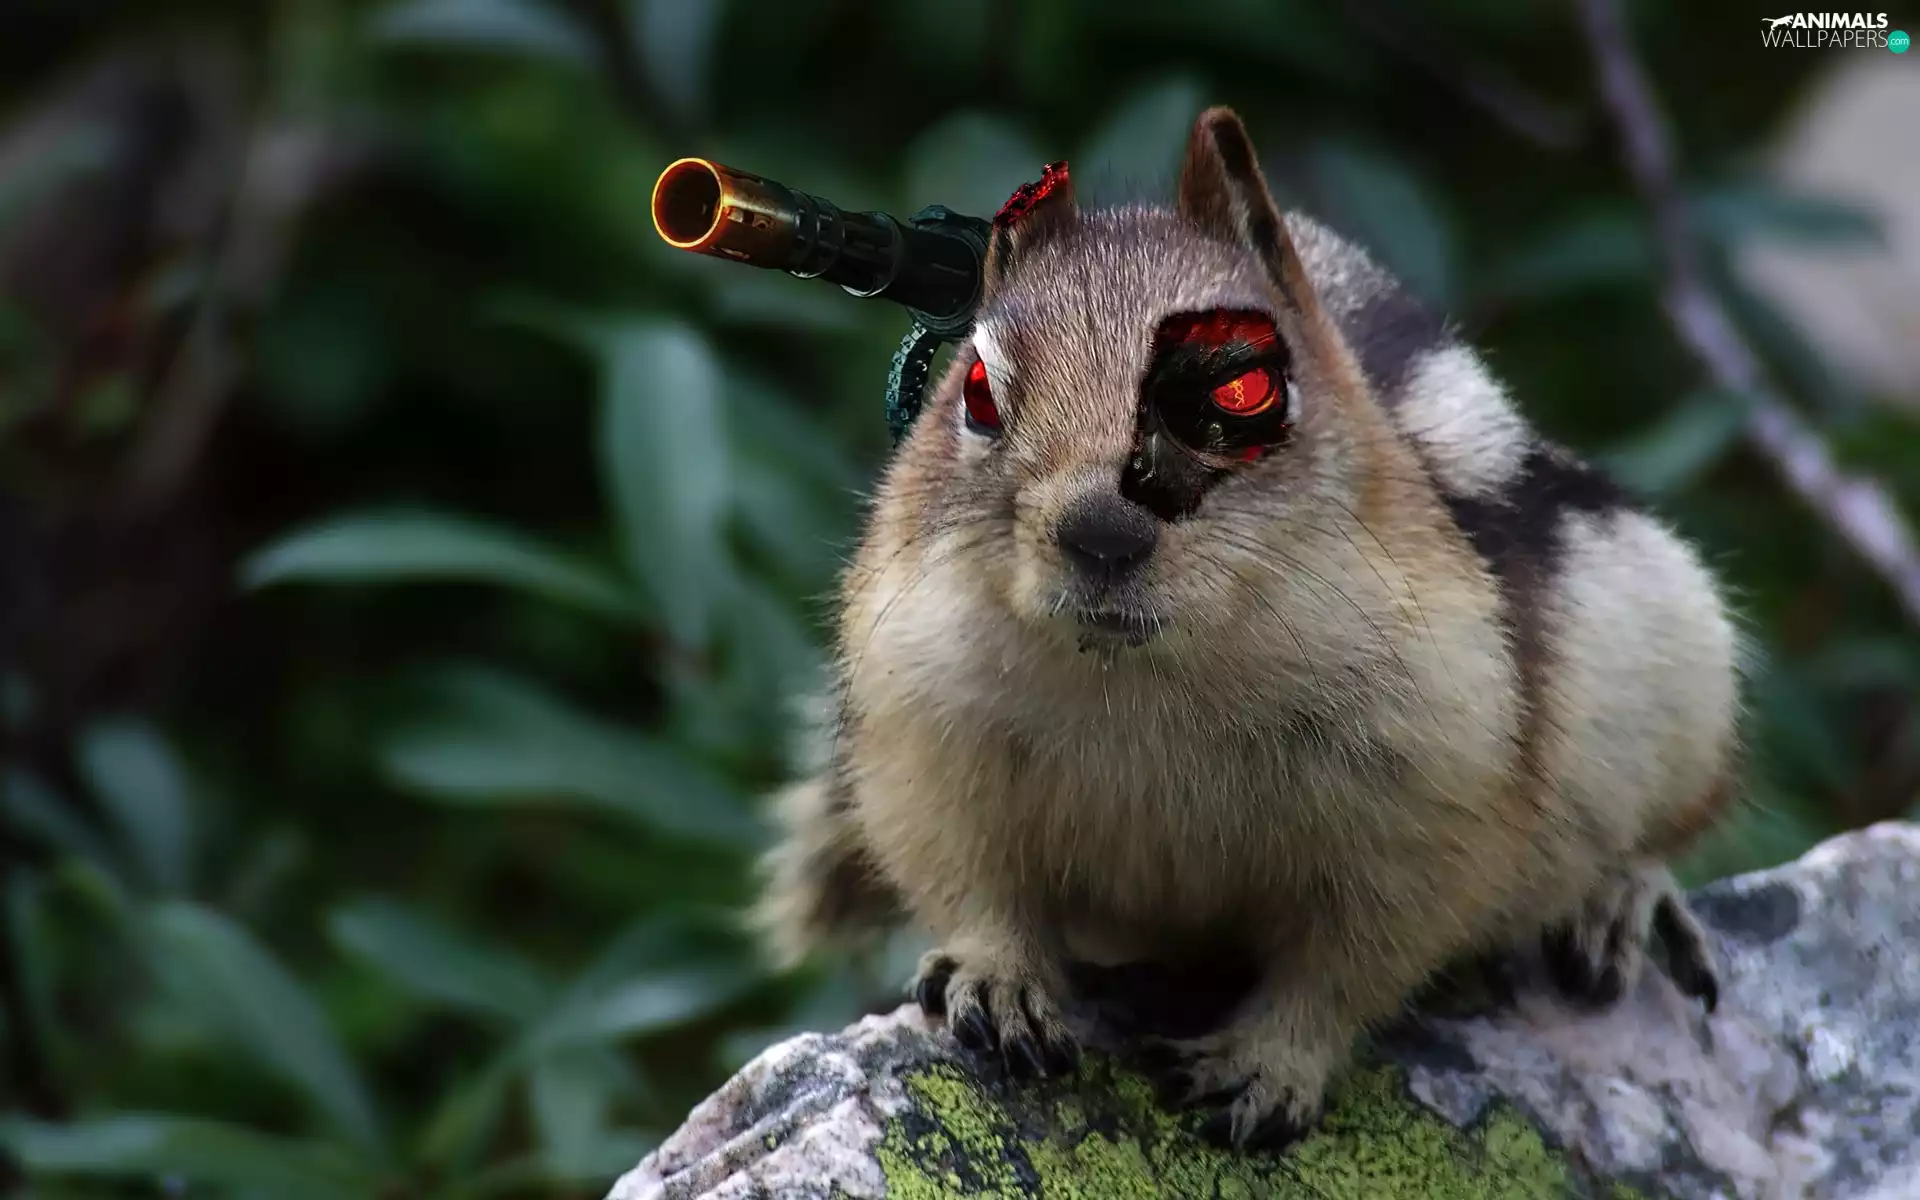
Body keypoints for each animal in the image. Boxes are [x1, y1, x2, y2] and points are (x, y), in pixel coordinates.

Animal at [752, 106, 1740, 1152]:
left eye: (1242, 393)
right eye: (977, 388)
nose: (1101, 531)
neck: (1147, 679)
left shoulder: (1436, 794)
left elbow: (1353, 962)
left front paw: (1269, 1067)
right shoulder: (923, 736)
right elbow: (966, 880)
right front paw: (997, 979)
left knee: (1665, 827)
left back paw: (1624, 902)